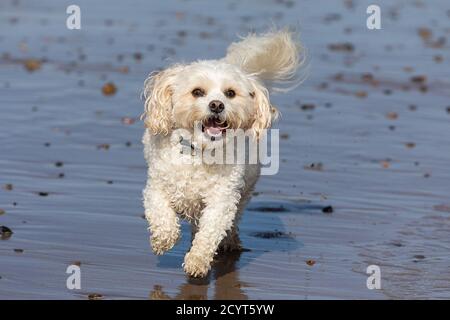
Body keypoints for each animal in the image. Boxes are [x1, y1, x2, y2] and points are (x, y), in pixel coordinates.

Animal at [142, 28, 302, 276]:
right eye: (197, 92)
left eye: (230, 93)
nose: (217, 105)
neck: (200, 152)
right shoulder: (156, 187)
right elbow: (161, 213)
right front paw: (163, 239)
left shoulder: (222, 199)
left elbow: (210, 231)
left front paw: (197, 260)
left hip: (244, 190)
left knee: (230, 220)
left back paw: (229, 242)